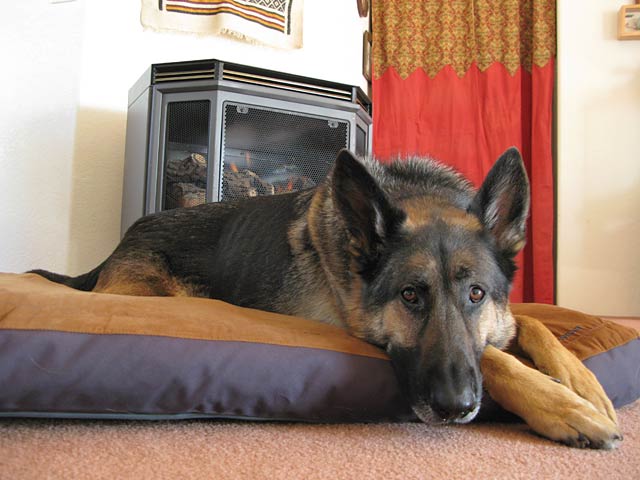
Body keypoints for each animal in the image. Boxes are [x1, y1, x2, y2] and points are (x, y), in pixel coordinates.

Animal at [33, 148, 620, 448]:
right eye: (410, 295)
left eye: (477, 293)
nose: (455, 407)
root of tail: (124, 238)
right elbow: (495, 358)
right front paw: (565, 408)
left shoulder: (501, 314)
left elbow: (531, 325)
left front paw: (584, 384)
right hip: (158, 296)